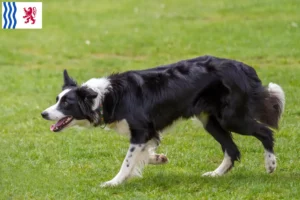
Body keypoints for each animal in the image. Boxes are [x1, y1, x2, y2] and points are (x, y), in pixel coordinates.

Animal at [41, 54, 284, 186]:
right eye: (57, 100)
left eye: (66, 103)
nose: (43, 114)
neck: (105, 96)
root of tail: (243, 67)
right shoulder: (149, 132)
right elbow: (142, 154)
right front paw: (158, 159)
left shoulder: (140, 131)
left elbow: (127, 161)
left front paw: (114, 182)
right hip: (210, 121)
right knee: (232, 150)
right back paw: (215, 174)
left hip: (232, 118)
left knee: (265, 133)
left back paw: (271, 165)